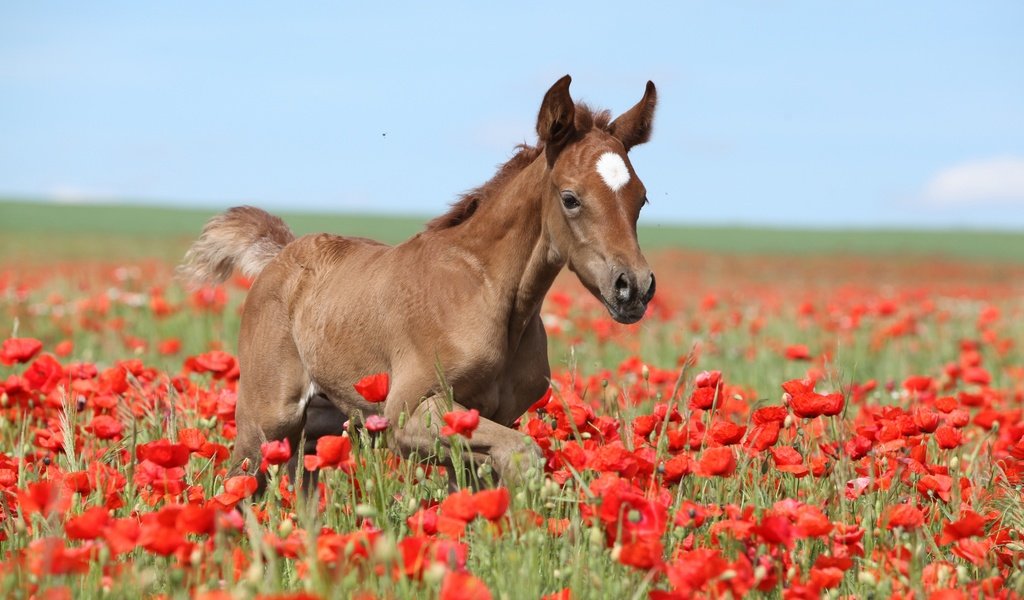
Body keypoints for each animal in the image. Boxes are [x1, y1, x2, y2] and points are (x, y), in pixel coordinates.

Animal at [180, 74, 659, 487]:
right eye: (570, 198)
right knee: (238, 485)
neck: (487, 293)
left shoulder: (487, 418)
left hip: (323, 424)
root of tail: (279, 256)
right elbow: (523, 452)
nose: (632, 287)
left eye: (642, 198)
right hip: (266, 423)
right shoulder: (408, 413)